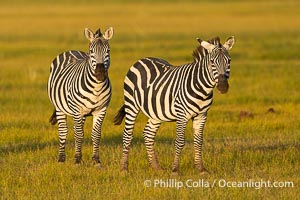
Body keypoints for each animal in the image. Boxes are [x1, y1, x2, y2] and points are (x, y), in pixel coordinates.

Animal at [47, 27, 114, 166]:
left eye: (108, 51)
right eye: (91, 51)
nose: (100, 74)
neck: (96, 88)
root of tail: (71, 51)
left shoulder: (101, 110)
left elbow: (96, 134)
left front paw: (96, 160)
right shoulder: (77, 110)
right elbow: (78, 135)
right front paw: (77, 159)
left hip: (81, 113)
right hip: (61, 108)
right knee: (63, 132)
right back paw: (61, 159)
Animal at [113, 36, 236, 175]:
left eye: (229, 61)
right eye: (212, 62)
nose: (223, 86)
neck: (203, 88)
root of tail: (142, 59)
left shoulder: (202, 115)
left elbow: (199, 142)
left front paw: (201, 169)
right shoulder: (182, 115)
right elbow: (180, 142)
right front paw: (175, 170)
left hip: (156, 112)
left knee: (148, 134)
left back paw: (156, 167)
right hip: (131, 104)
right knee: (128, 134)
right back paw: (124, 168)